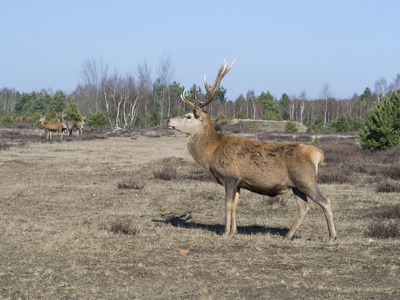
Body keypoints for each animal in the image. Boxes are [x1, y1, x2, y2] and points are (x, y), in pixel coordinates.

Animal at [166, 60, 338, 241]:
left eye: (188, 116)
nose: (168, 120)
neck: (211, 152)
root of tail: (318, 154)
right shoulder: (239, 182)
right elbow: (235, 205)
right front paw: (234, 230)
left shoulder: (229, 176)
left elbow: (227, 205)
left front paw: (225, 232)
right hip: (296, 185)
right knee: (303, 207)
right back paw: (287, 236)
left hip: (306, 180)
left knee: (325, 201)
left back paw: (332, 236)